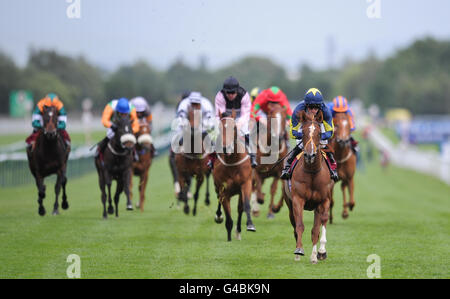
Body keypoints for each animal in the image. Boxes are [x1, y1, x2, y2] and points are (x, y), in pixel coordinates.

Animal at [213, 111, 255, 243]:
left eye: (234, 127)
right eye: (219, 128)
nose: (226, 148)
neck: (232, 162)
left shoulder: (246, 184)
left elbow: (246, 205)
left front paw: (250, 225)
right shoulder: (223, 190)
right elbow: (228, 216)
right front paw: (229, 238)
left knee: (240, 208)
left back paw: (238, 231)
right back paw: (218, 216)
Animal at [282, 110, 334, 264]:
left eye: (318, 133)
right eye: (303, 132)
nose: (309, 155)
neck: (312, 172)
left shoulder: (323, 201)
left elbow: (318, 228)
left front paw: (318, 254)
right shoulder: (297, 200)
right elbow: (299, 226)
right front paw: (299, 250)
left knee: (319, 225)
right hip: (289, 203)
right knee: (294, 225)